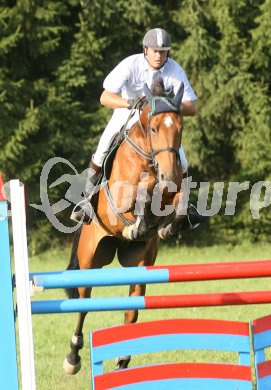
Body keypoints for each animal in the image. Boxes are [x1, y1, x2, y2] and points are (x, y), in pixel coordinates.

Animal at [63, 78, 185, 374]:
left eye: (180, 128)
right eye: (153, 128)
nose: (168, 173)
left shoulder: (172, 187)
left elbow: (178, 198)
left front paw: (167, 227)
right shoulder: (120, 198)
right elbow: (139, 193)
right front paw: (140, 217)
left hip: (139, 263)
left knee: (131, 309)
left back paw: (123, 361)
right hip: (90, 258)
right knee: (83, 303)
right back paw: (73, 357)